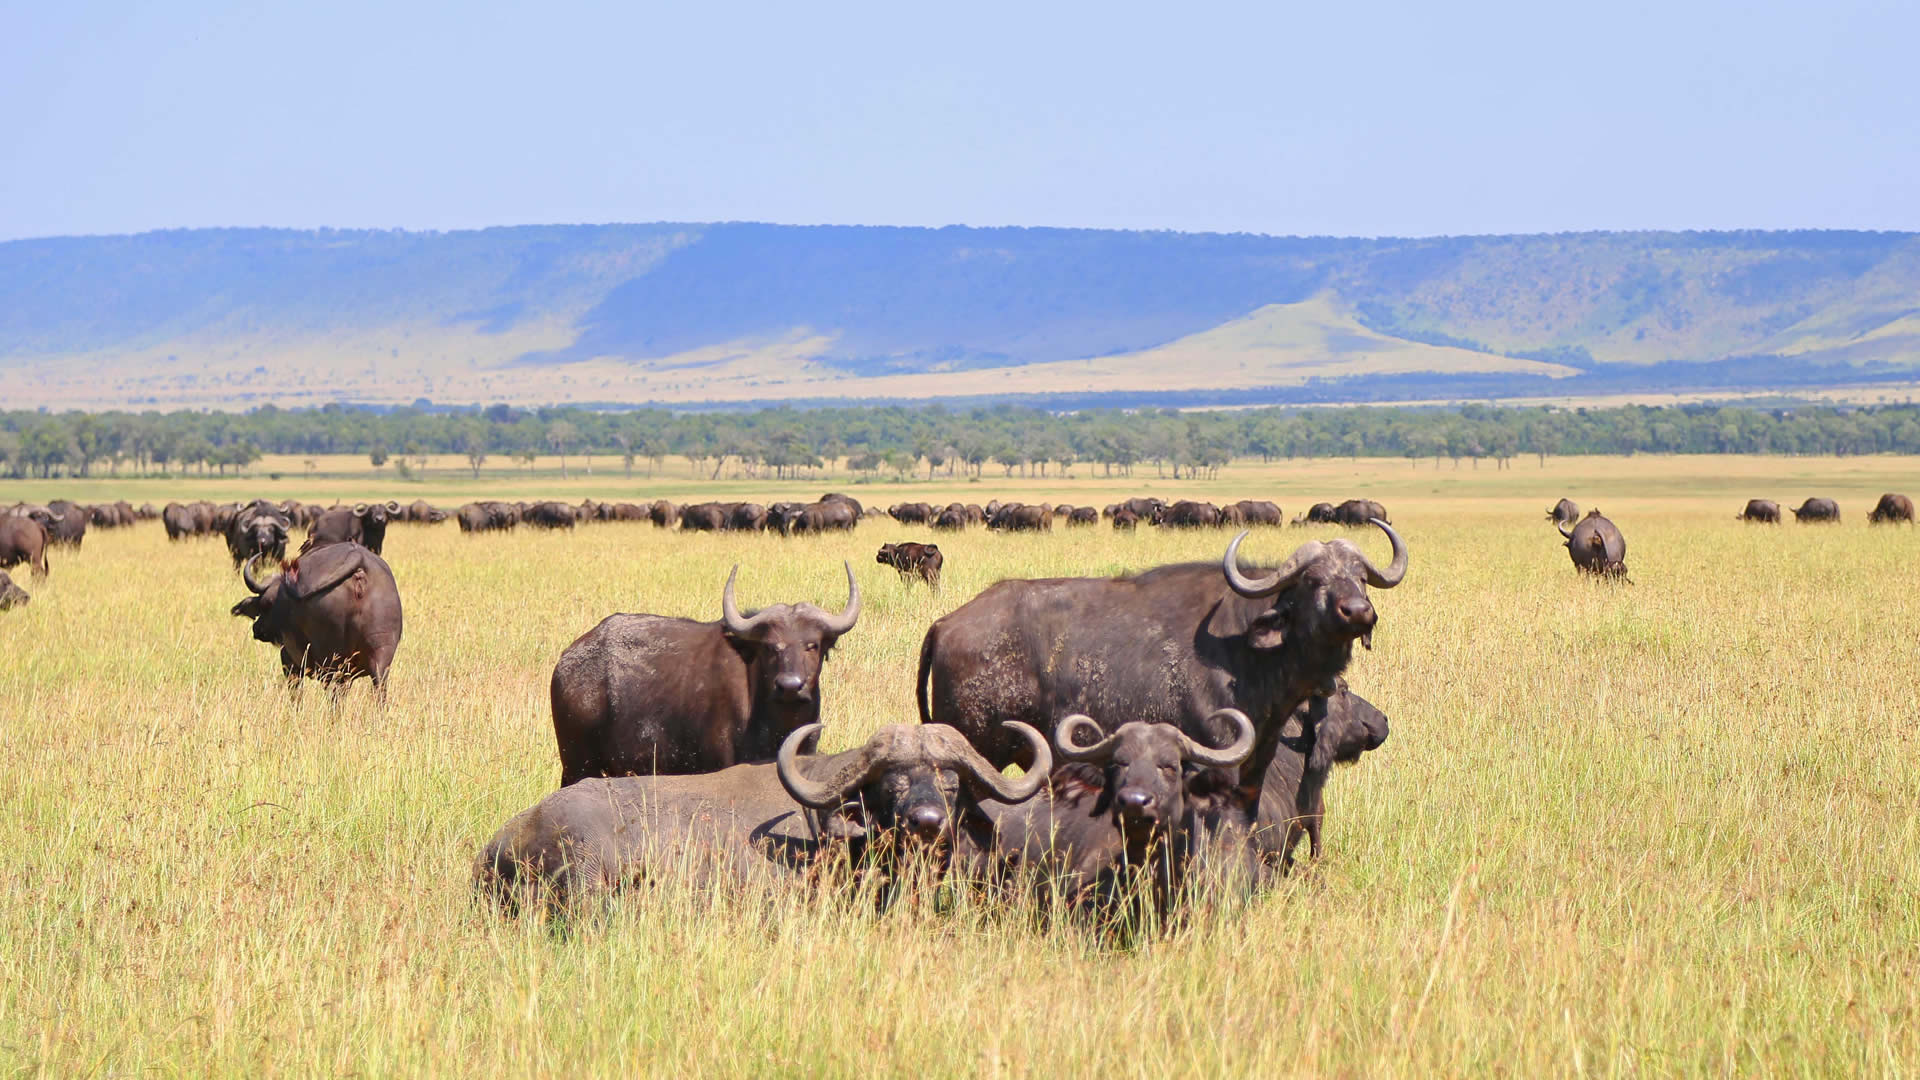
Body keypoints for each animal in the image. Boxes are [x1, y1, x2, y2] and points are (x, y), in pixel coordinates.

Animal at [228, 541, 401, 691]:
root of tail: (358, 558)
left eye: (265, 605)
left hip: (331, 663)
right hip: (380, 657)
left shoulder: (289, 661)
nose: (257, 629)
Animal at [549, 564, 864, 780]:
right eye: (770, 647)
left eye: (812, 645)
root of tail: (565, 662)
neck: (777, 723)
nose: (790, 686)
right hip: (576, 763)